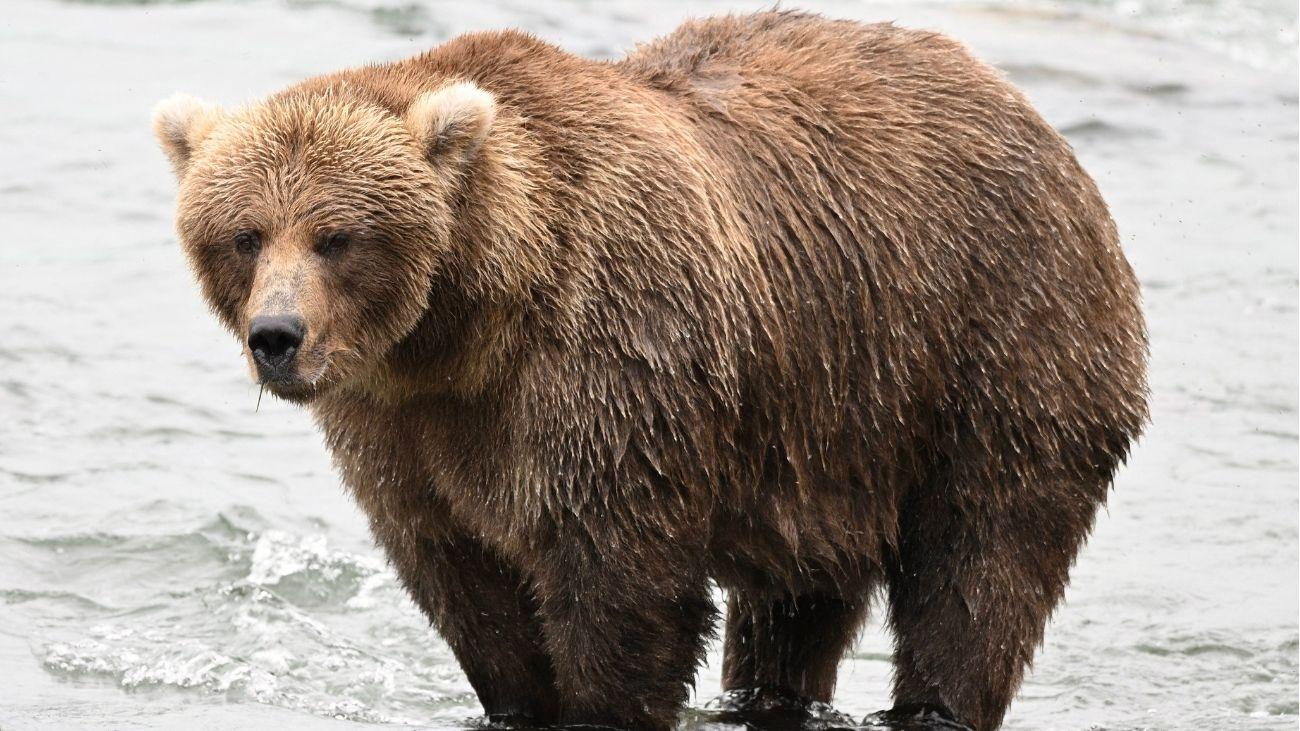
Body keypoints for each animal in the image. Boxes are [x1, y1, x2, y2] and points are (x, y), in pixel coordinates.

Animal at [152, 10, 1148, 731]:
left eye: (336, 235)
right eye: (244, 233)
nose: (277, 335)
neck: (467, 327)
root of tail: (1032, 115)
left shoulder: (608, 362)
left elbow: (619, 583)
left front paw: (601, 699)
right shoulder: (401, 423)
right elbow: (463, 578)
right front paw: (516, 695)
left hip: (997, 340)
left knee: (981, 561)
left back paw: (937, 700)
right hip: (829, 418)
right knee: (797, 597)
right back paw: (771, 696)